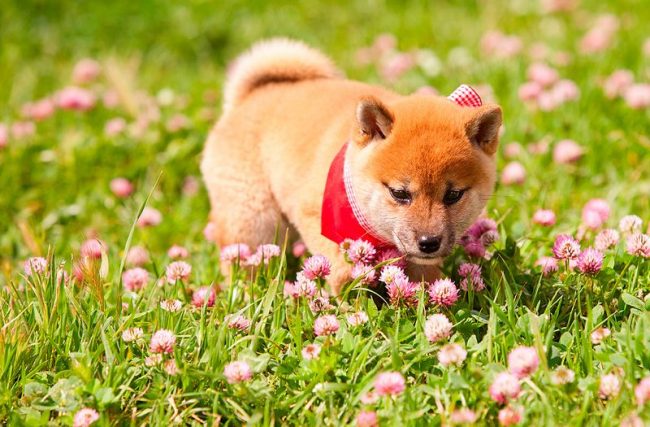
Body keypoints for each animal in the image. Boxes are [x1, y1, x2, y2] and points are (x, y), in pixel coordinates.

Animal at [202, 39, 502, 294]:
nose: (429, 242)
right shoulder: (317, 218)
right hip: (253, 219)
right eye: (399, 193)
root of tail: (250, 96)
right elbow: (341, 267)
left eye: (453, 195)